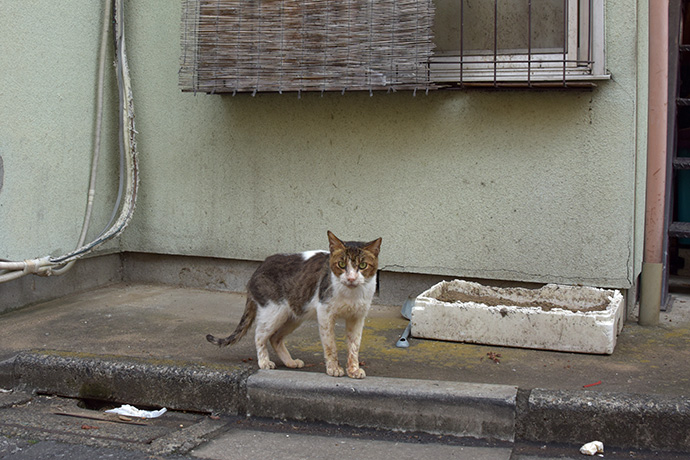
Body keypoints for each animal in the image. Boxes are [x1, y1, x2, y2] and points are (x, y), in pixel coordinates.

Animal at [207, 232, 384, 380]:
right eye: (341, 264)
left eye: (362, 266)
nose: (351, 278)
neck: (351, 293)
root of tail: (258, 268)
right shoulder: (325, 313)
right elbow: (330, 345)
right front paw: (334, 368)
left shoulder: (357, 317)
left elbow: (354, 346)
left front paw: (353, 370)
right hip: (274, 312)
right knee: (259, 335)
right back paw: (264, 362)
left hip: (294, 315)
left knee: (275, 338)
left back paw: (290, 362)